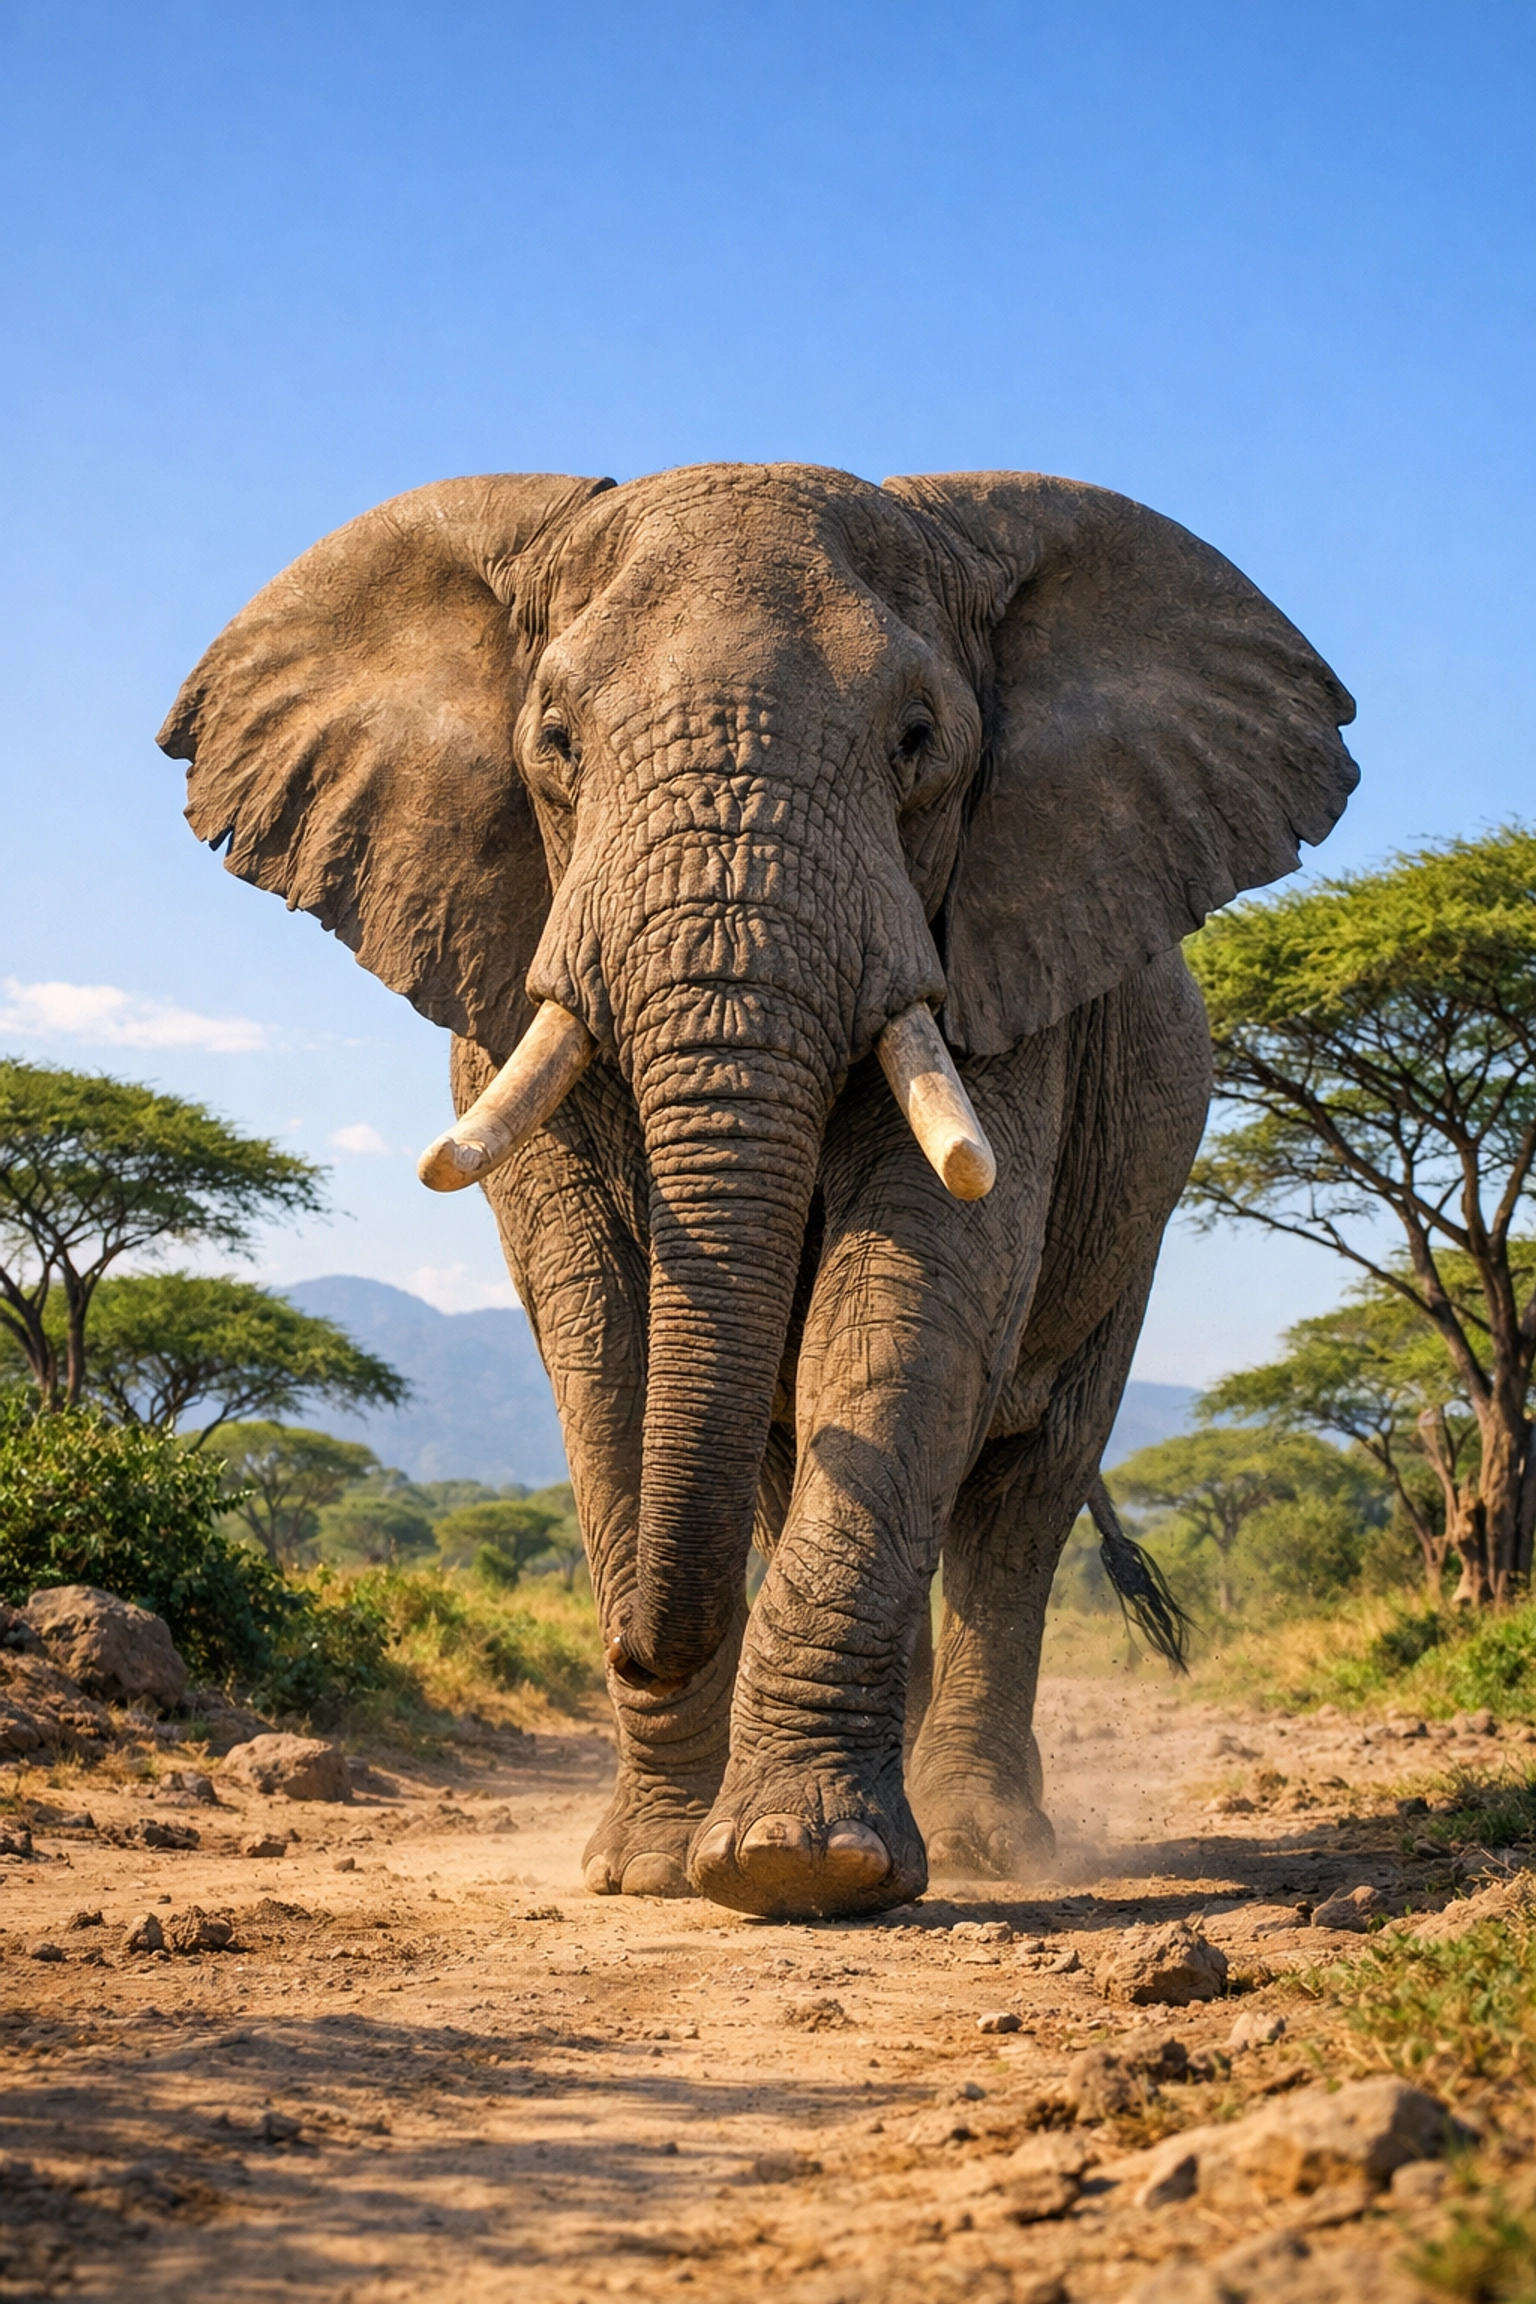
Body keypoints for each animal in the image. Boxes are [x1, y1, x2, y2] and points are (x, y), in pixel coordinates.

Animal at [160, 462, 1356, 1919]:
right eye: (553, 740)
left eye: (917, 742)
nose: (633, 1645)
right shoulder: (503, 984)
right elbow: (596, 1325)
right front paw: (654, 1869)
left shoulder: (1008, 980)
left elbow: (918, 1287)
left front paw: (801, 1865)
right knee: (800, 1462)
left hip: (1141, 1205)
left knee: (1024, 1496)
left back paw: (985, 1843)